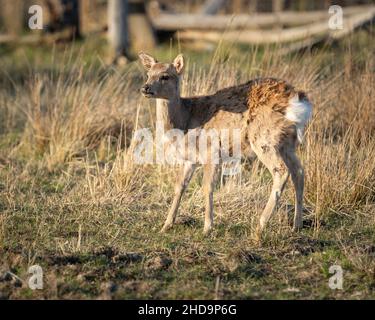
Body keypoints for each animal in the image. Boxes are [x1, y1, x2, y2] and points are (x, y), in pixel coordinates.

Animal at [140, 52, 312, 238]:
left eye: (165, 76)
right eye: (148, 74)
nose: (145, 88)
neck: (185, 121)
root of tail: (298, 101)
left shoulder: (211, 152)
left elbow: (207, 187)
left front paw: (207, 228)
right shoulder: (190, 159)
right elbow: (179, 186)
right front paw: (166, 225)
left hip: (264, 139)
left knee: (281, 171)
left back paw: (260, 225)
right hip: (287, 142)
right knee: (299, 172)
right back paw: (296, 225)